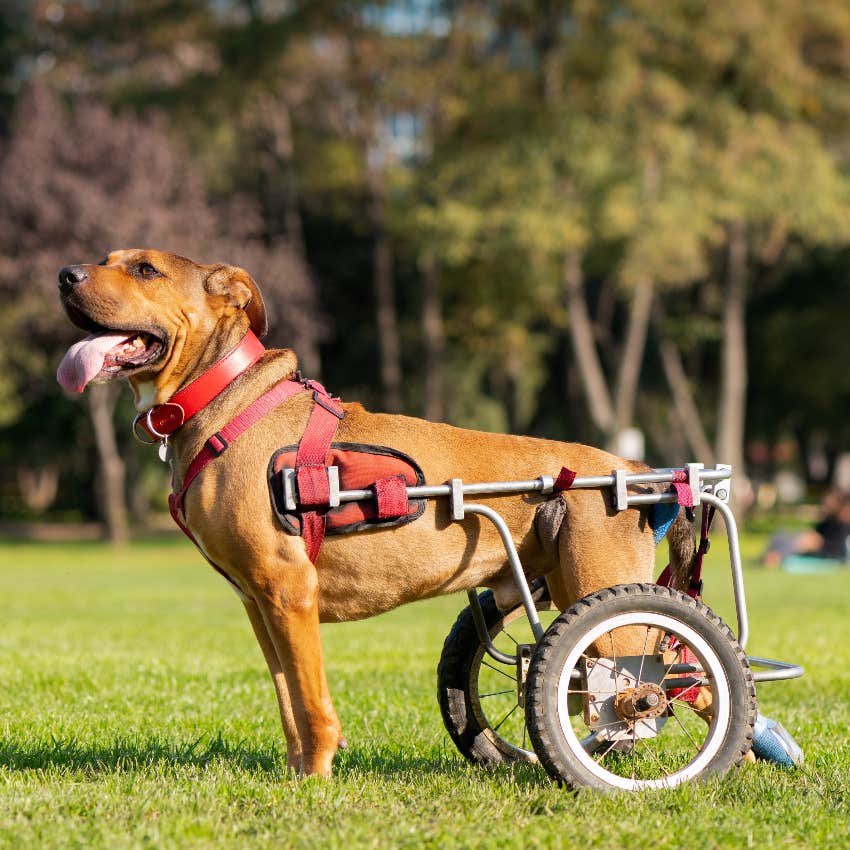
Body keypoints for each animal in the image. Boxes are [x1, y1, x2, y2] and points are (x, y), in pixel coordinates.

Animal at [58, 247, 696, 776]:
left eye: (146, 269)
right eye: (107, 258)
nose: (66, 274)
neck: (224, 396)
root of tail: (629, 465)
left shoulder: (289, 591)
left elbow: (312, 704)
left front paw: (315, 780)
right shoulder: (261, 605)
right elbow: (288, 699)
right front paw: (296, 774)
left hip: (608, 605)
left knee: (667, 685)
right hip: (568, 586)